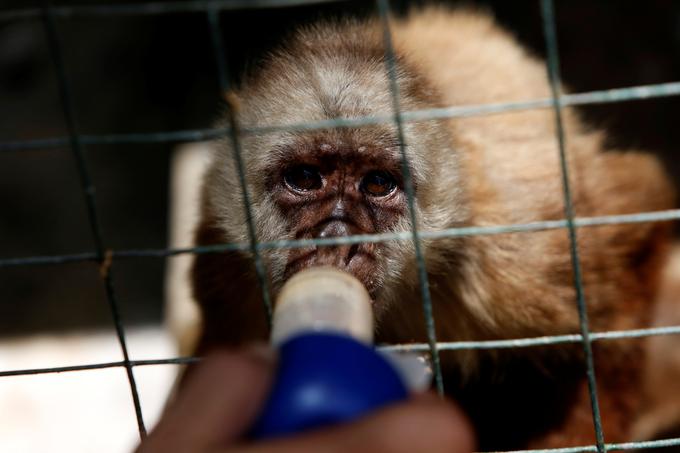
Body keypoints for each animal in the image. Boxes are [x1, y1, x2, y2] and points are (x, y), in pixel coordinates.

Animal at [186, 7, 676, 452]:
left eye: (378, 184)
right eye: (305, 178)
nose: (338, 239)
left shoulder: (522, 248)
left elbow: (641, 214)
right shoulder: (226, 257)